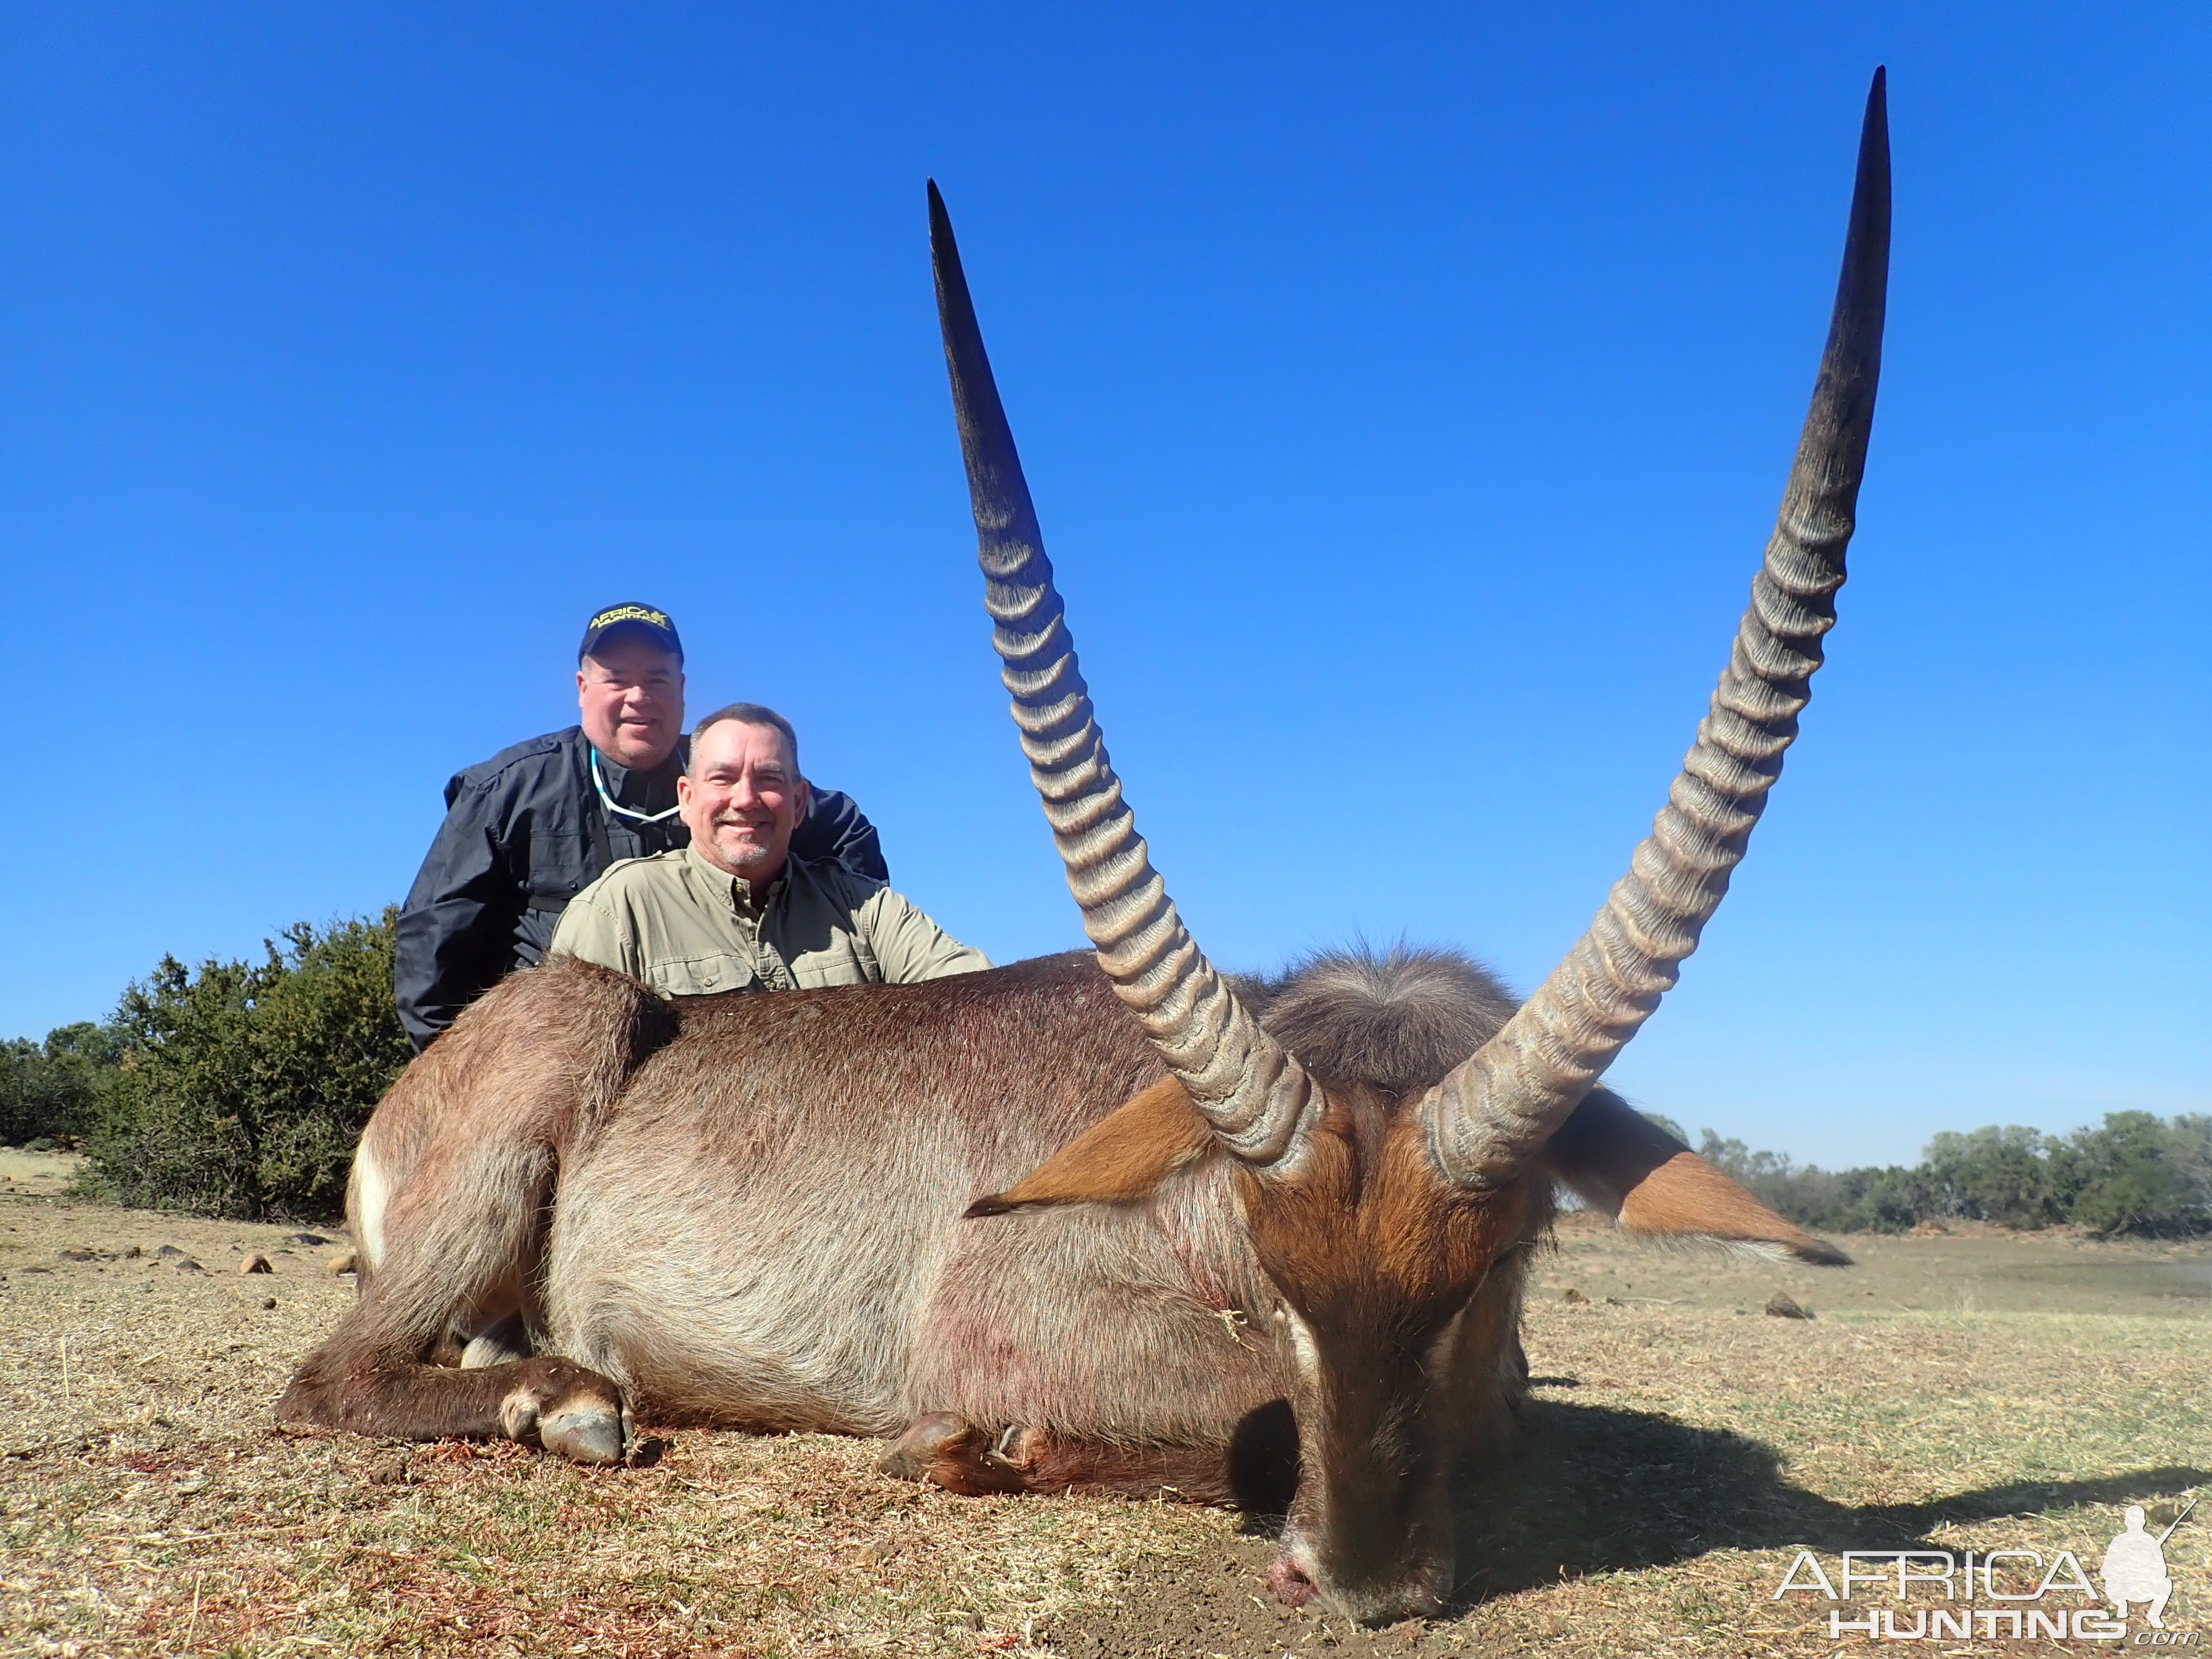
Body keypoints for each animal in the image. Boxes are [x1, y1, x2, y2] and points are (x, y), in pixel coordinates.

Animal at [285, 71, 1893, 1628]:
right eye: (1265, 1266)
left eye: (1499, 1260)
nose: (1361, 1580)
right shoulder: (1015, 1313)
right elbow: (1238, 1415)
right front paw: (969, 1443)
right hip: (563, 1041)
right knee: (326, 1377)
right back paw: (569, 1405)